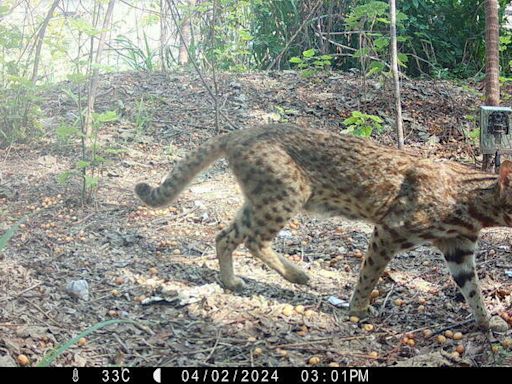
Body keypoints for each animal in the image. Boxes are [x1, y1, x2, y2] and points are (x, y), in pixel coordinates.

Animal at [136, 123, 512, 330]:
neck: (472, 204)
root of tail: (241, 130)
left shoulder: (459, 249)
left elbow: (472, 289)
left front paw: (486, 323)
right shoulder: (389, 230)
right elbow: (369, 274)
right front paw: (358, 309)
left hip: (262, 200)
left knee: (225, 235)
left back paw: (231, 280)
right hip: (288, 194)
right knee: (254, 240)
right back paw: (296, 274)